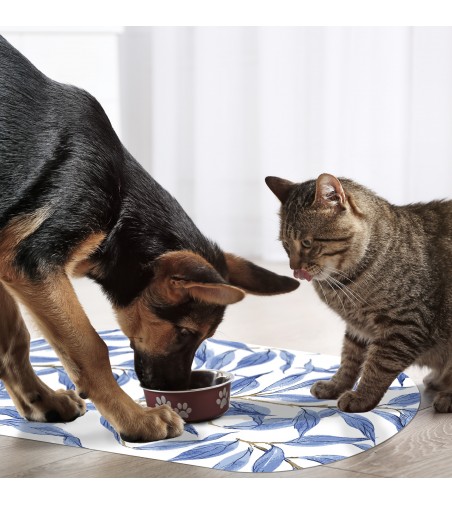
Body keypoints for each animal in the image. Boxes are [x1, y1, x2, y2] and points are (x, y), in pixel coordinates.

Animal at [0, 34, 298, 440]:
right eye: (185, 332)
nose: (178, 390)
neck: (120, 207)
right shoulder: (33, 262)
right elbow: (91, 349)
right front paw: (136, 420)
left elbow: (15, 340)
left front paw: (40, 401)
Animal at [266, 175, 450, 412]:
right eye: (286, 245)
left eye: (307, 242)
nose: (294, 269)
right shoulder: (357, 328)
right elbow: (349, 360)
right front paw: (335, 386)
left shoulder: (404, 325)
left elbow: (378, 365)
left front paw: (362, 396)